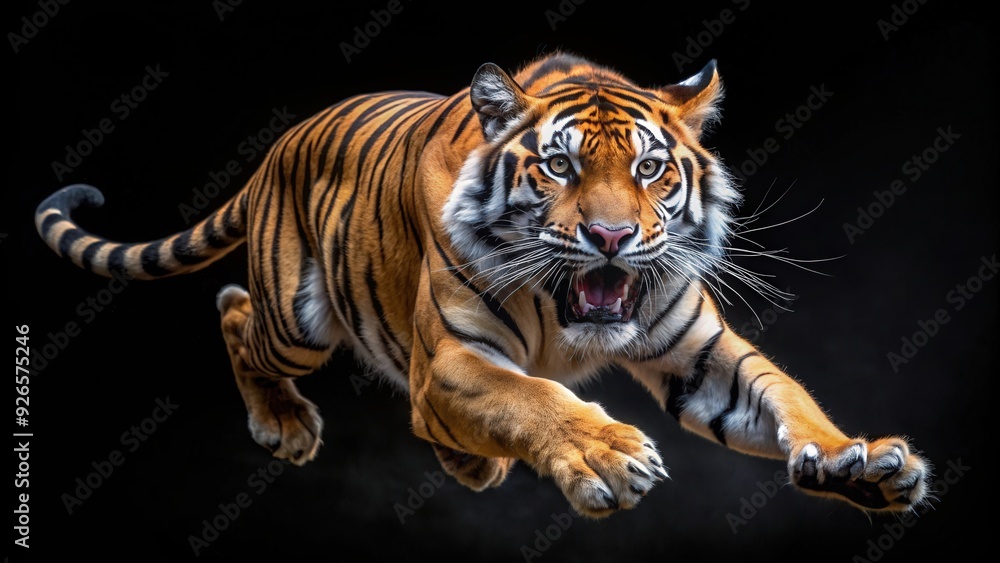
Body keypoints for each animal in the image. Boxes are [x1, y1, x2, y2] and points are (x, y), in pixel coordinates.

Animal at [34, 51, 930, 519]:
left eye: (649, 169)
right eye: (560, 166)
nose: (611, 236)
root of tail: (279, 144)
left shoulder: (699, 351)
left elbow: (784, 393)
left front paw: (857, 460)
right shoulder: (455, 357)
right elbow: (532, 395)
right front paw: (605, 453)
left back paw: (470, 463)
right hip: (296, 317)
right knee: (232, 311)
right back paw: (284, 422)